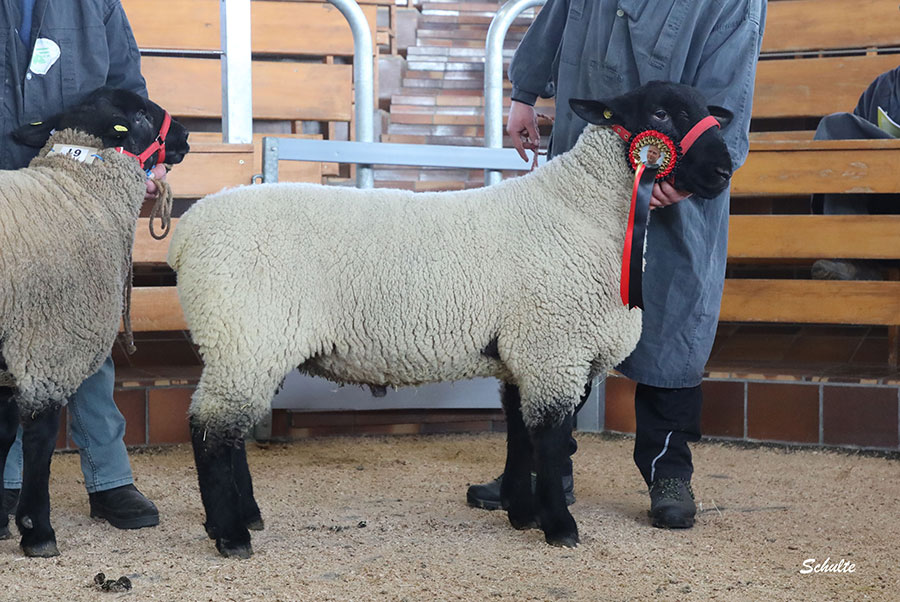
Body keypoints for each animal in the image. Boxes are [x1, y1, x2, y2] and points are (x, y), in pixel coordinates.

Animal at [0, 86, 190, 556]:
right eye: (141, 115)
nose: (186, 134)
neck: (78, 188)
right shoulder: (49, 350)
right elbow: (39, 442)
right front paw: (37, 530)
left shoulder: (14, 356)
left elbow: (4, 435)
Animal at [169, 81, 732, 556]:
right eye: (660, 113)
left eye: (707, 110)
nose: (725, 171)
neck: (582, 212)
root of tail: (188, 231)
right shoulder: (552, 349)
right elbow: (550, 440)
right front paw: (558, 527)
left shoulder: (521, 355)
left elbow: (519, 435)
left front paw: (521, 514)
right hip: (245, 333)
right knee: (211, 430)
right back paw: (231, 534)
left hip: (250, 341)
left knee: (227, 431)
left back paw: (244, 517)